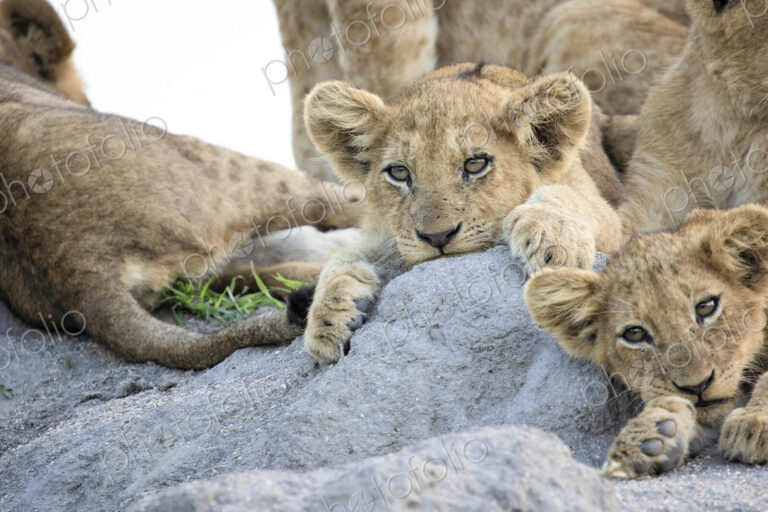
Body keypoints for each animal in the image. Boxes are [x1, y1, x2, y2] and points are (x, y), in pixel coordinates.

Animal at [290, 63, 623, 362]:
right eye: (399, 172)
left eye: (475, 164)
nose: (437, 237)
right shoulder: (386, 236)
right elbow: (342, 258)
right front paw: (327, 320)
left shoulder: (614, 224)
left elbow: (565, 197)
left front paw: (552, 244)